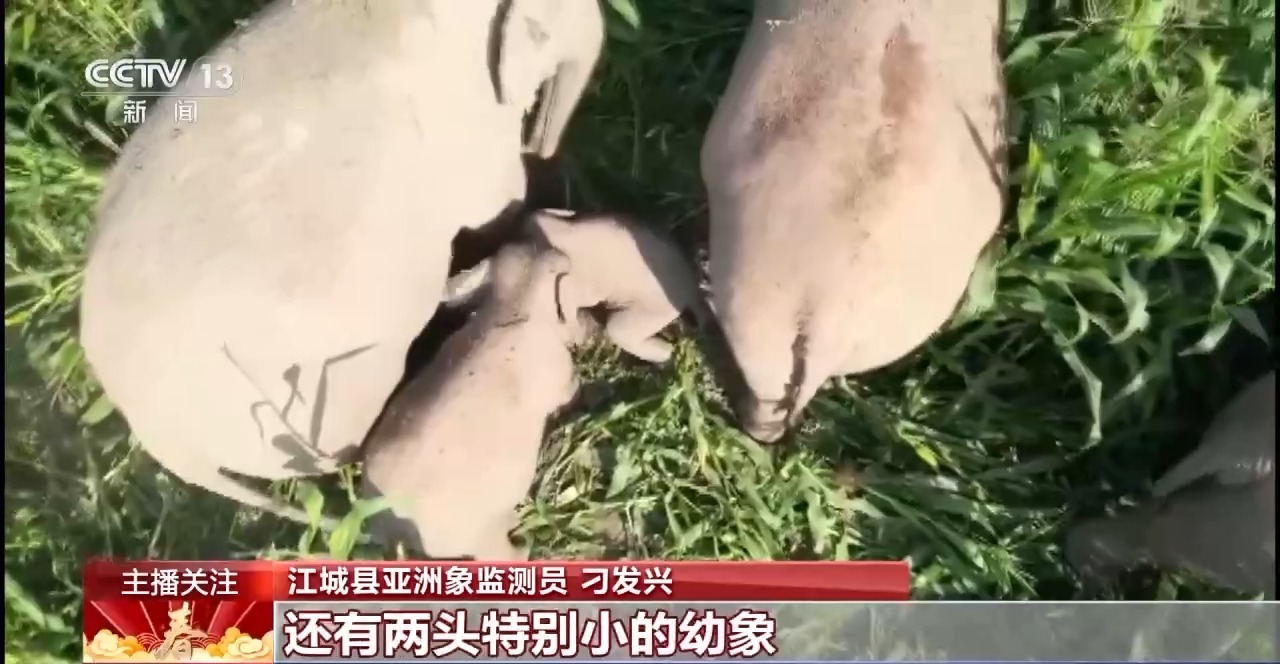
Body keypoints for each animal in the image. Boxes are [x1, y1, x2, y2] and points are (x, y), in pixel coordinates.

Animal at [78, 0, 604, 526]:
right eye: (544, 31)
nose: (543, 151)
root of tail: (162, 442)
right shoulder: (469, 136)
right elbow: (498, 206)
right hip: (327, 401)